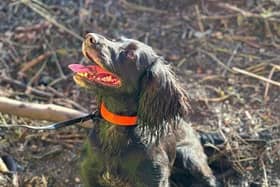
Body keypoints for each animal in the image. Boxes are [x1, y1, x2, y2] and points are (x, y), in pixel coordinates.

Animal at [69, 32, 218, 186]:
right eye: (115, 40)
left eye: (131, 54)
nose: (90, 37)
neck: (115, 128)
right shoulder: (89, 173)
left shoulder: (154, 179)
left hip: (189, 156)